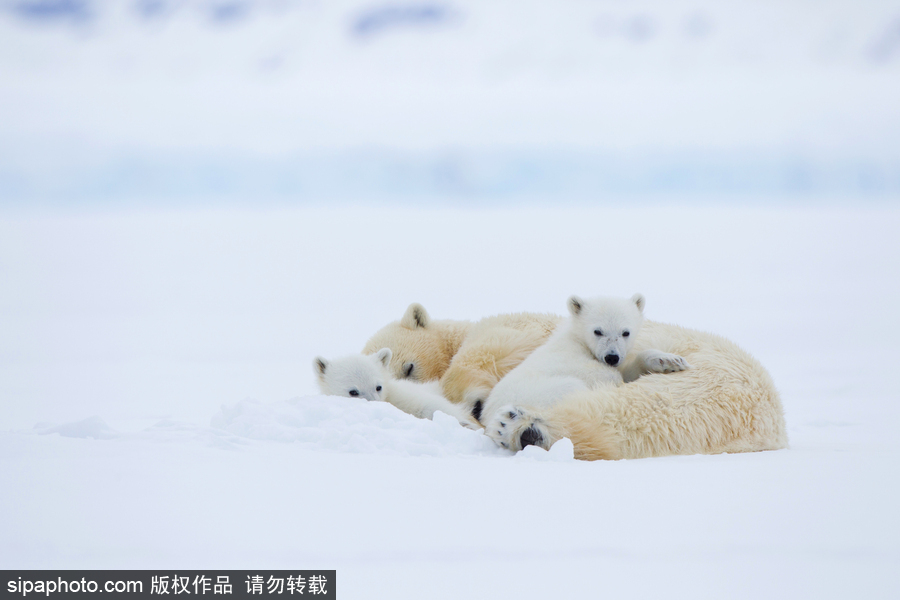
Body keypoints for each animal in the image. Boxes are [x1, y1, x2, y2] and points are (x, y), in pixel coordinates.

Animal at [364, 302, 788, 462]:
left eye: (409, 366)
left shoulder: (515, 330)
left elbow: (479, 359)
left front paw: (468, 404)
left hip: (704, 377)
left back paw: (519, 426)